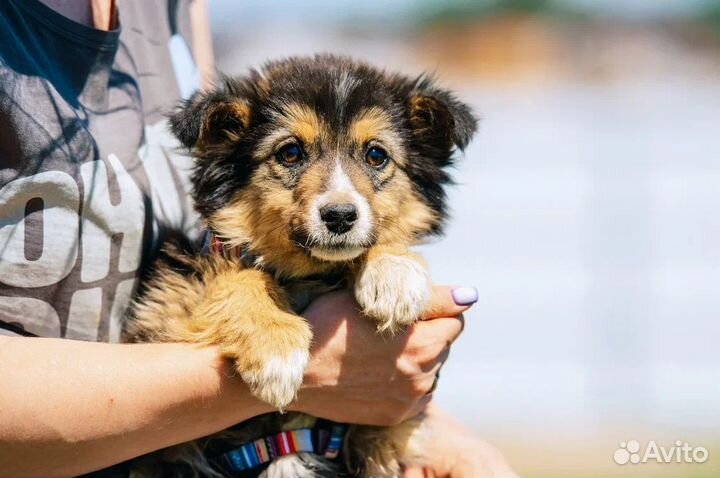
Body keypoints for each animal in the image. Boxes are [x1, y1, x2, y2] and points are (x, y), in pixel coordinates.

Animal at [126, 54, 476, 476]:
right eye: (290, 153)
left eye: (376, 155)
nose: (340, 216)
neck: (307, 274)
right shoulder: (161, 316)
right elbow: (238, 275)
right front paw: (276, 349)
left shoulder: (393, 433)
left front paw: (394, 273)